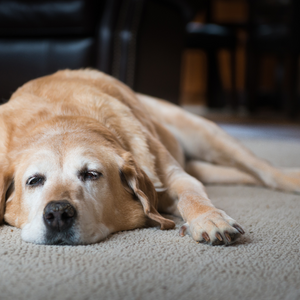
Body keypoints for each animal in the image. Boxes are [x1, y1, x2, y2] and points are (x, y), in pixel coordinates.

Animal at [0, 69, 300, 246]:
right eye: (34, 181)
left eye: (91, 175)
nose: (58, 213)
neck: (63, 118)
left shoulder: (177, 178)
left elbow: (192, 197)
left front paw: (210, 219)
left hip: (205, 134)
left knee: (264, 170)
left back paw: (290, 178)